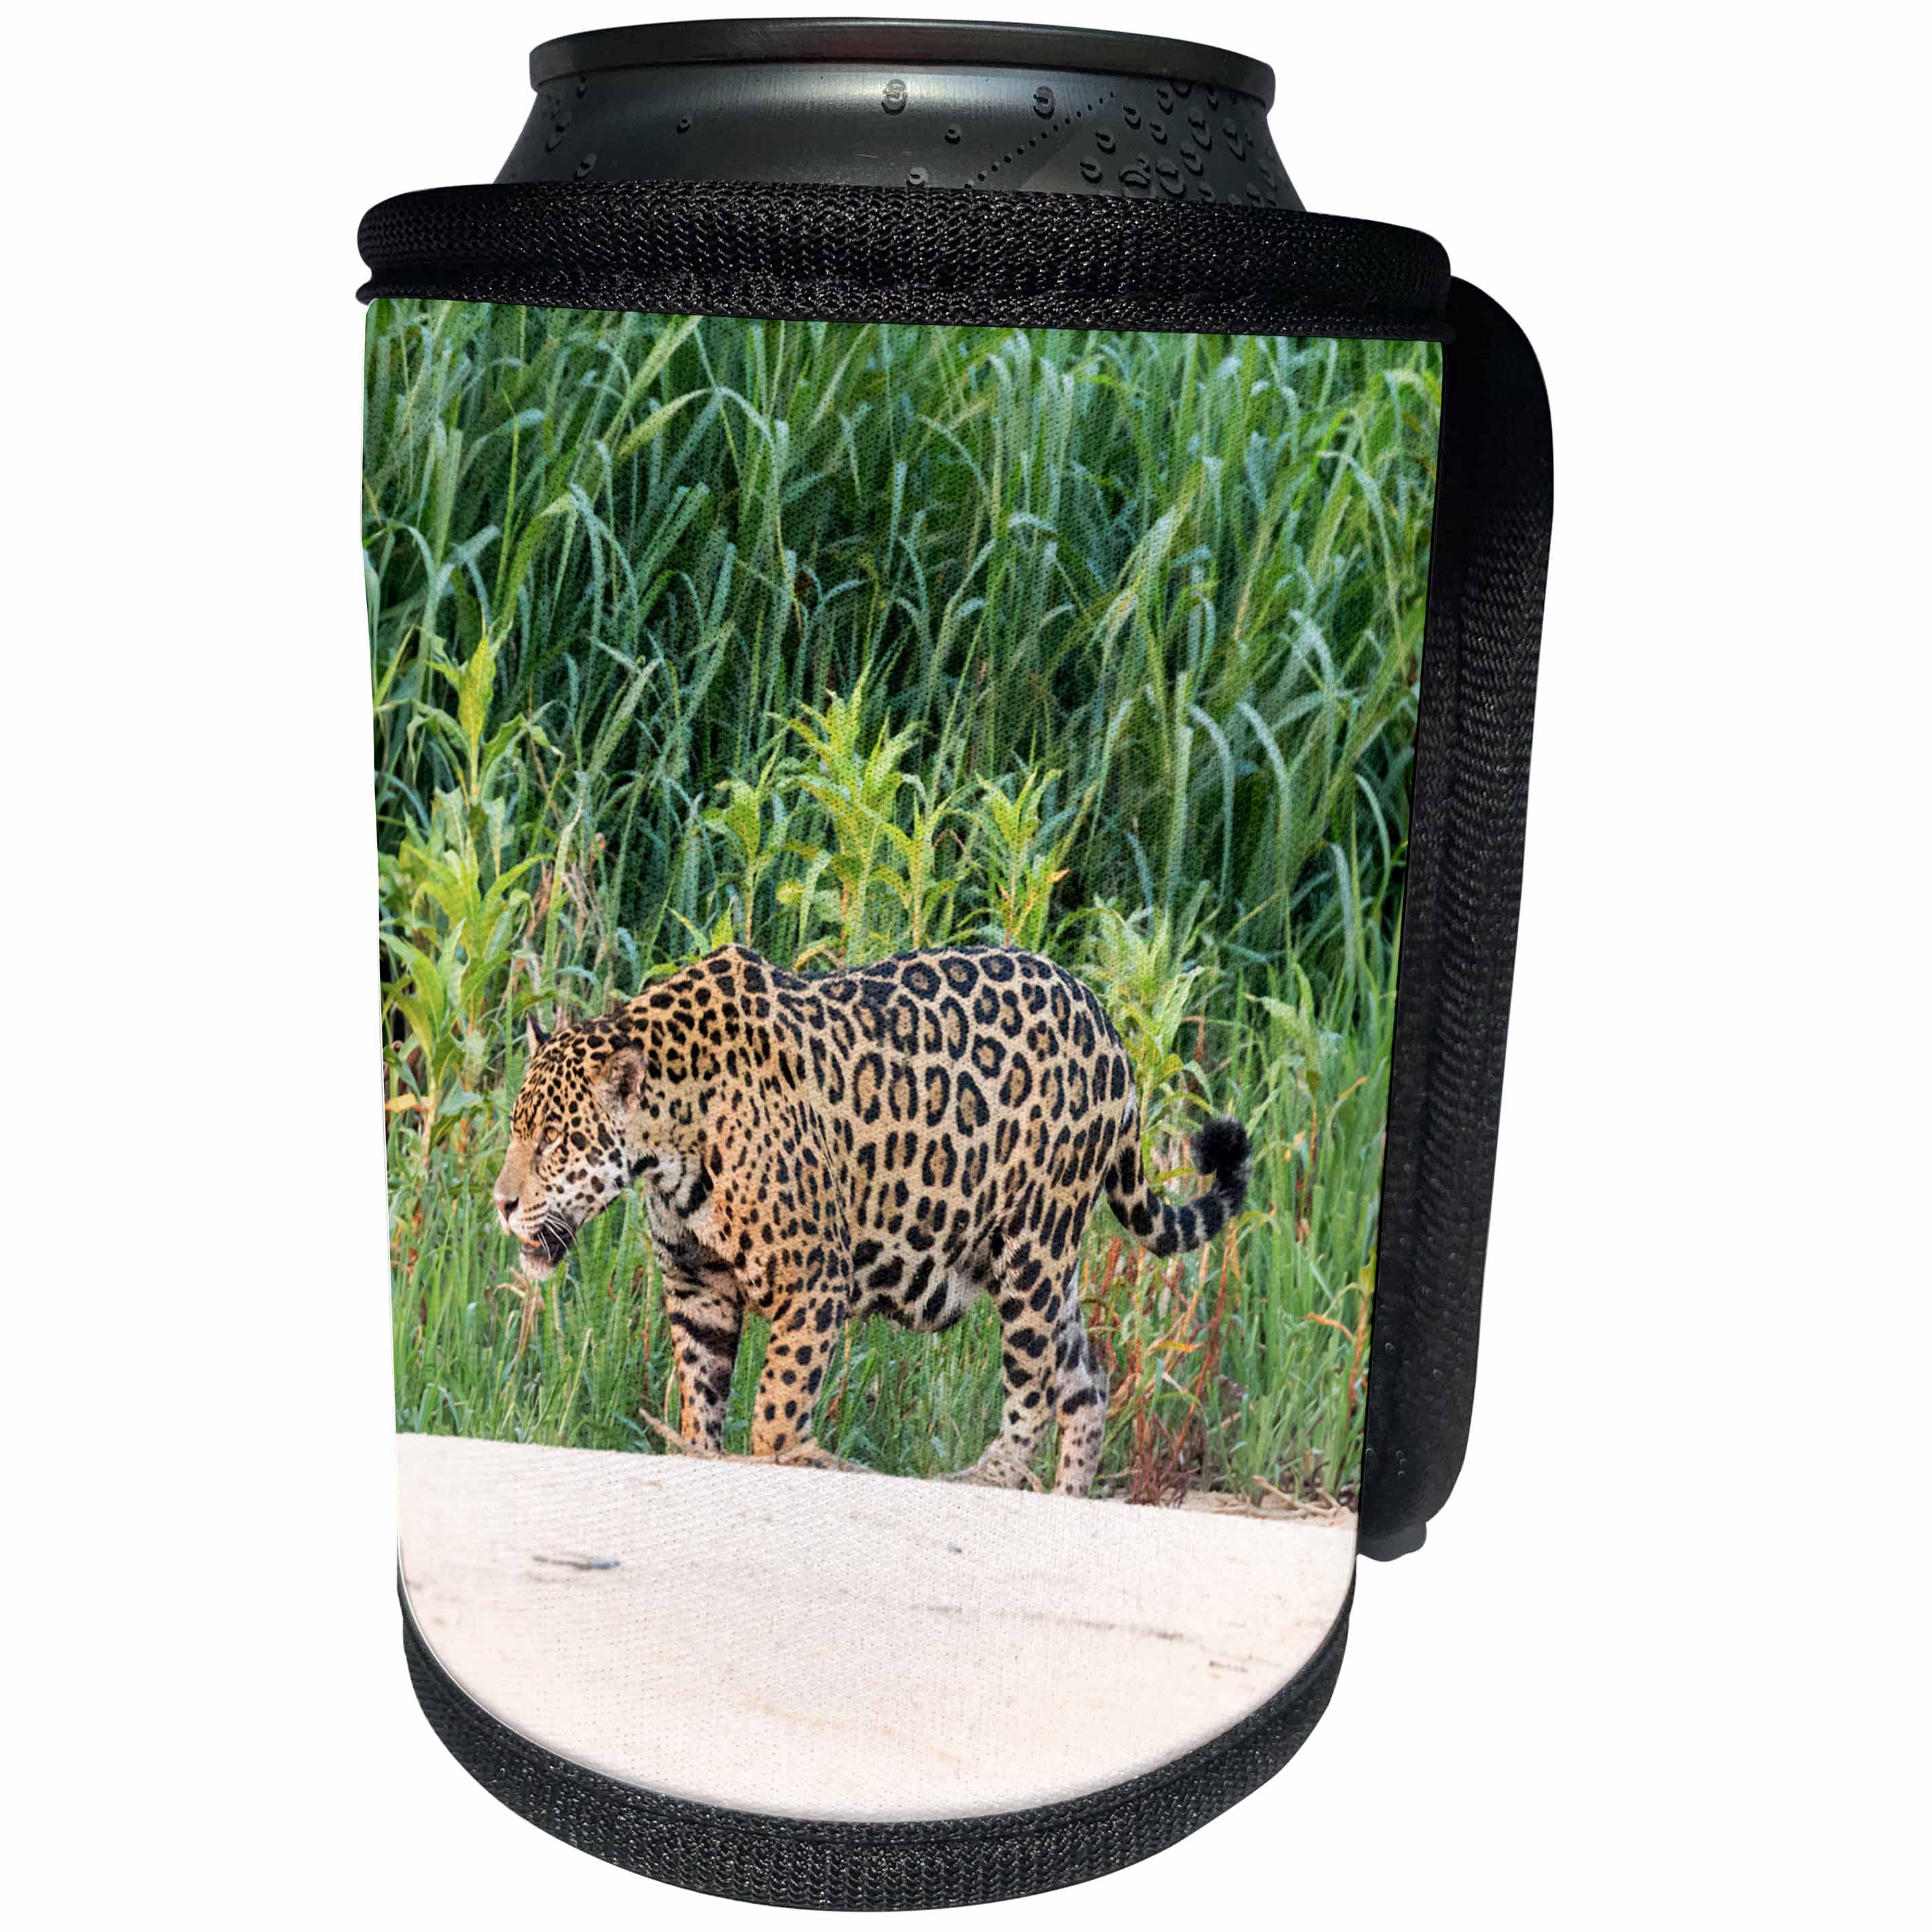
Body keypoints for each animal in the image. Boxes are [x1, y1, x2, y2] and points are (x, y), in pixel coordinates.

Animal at [491, 943, 1250, 1496]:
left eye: (555, 1141)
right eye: (516, 1130)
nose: (501, 1203)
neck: (670, 1140)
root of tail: (1105, 1021)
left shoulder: (812, 1281)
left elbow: (775, 1409)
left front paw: (789, 1461)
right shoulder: (697, 1285)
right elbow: (700, 1402)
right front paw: (703, 1457)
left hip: (1034, 1246)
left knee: (1033, 1387)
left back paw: (986, 1476)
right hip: (1045, 1261)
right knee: (1085, 1389)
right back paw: (1062, 1501)